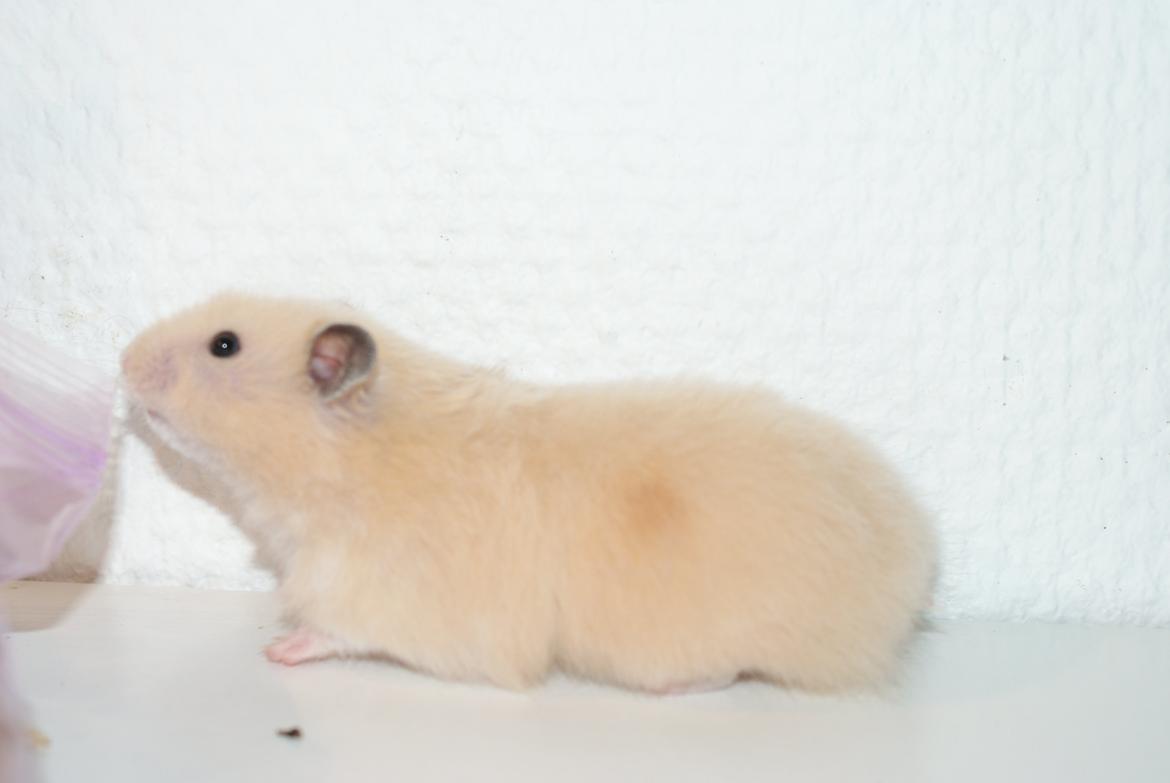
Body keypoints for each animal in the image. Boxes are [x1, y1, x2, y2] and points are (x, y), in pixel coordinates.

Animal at [120, 292, 935, 694]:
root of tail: (910, 568)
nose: (121, 356)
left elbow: (337, 630)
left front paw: (281, 649)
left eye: (224, 346)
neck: (349, 462)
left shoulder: (378, 593)